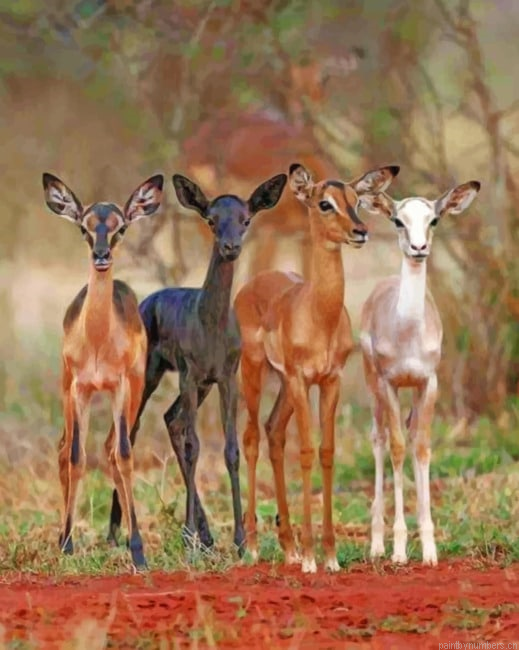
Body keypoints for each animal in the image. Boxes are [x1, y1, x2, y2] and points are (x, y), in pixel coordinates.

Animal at [42, 172, 164, 569]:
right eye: (84, 226)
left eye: (120, 227)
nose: (101, 256)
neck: (96, 341)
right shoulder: (78, 388)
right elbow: (77, 456)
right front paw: (66, 544)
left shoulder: (121, 387)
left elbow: (123, 455)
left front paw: (138, 550)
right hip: (69, 392)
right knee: (64, 448)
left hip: (134, 393)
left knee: (113, 448)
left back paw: (121, 539)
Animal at [107, 172, 288, 556]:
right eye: (211, 219)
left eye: (245, 219)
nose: (230, 247)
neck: (210, 326)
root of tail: (145, 303)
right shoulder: (189, 376)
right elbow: (194, 447)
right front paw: (188, 535)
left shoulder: (225, 378)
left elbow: (231, 449)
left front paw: (239, 539)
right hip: (148, 378)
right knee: (129, 433)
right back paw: (118, 534)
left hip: (198, 387)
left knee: (171, 420)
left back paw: (205, 536)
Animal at [234, 162, 400, 573]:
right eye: (324, 203)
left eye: (356, 200)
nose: (360, 231)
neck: (317, 313)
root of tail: (254, 283)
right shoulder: (299, 378)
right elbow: (306, 452)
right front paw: (311, 558)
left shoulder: (328, 381)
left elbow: (326, 452)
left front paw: (329, 555)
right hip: (255, 372)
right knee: (252, 438)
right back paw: (254, 546)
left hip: (285, 386)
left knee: (274, 431)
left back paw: (288, 546)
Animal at [359, 180, 481, 566]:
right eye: (398, 220)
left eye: (434, 219)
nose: (418, 248)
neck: (408, 331)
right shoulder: (389, 383)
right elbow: (397, 449)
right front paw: (398, 549)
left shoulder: (428, 383)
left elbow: (422, 448)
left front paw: (429, 548)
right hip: (373, 388)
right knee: (379, 439)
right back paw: (377, 543)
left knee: (410, 438)